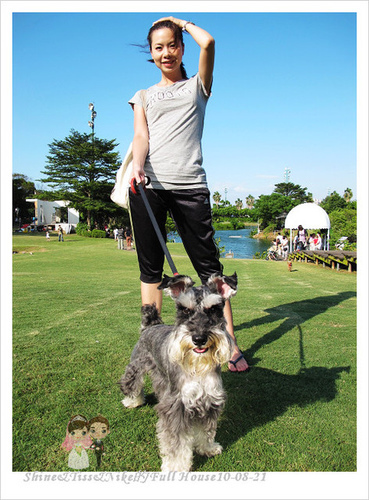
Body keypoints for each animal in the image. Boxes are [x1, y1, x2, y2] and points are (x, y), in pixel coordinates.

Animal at [119, 272, 237, 470]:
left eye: (213, 309)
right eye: (185, 310)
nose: (199, 338)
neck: (197, 367)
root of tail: (151, 325)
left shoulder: (210, 400)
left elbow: (207, 429)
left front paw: (207, 448)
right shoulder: (176, 407)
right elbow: (176, 444)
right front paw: (175, 467)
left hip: (161, 377)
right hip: (137, 364)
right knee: (131, 382)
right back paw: (132, 401)